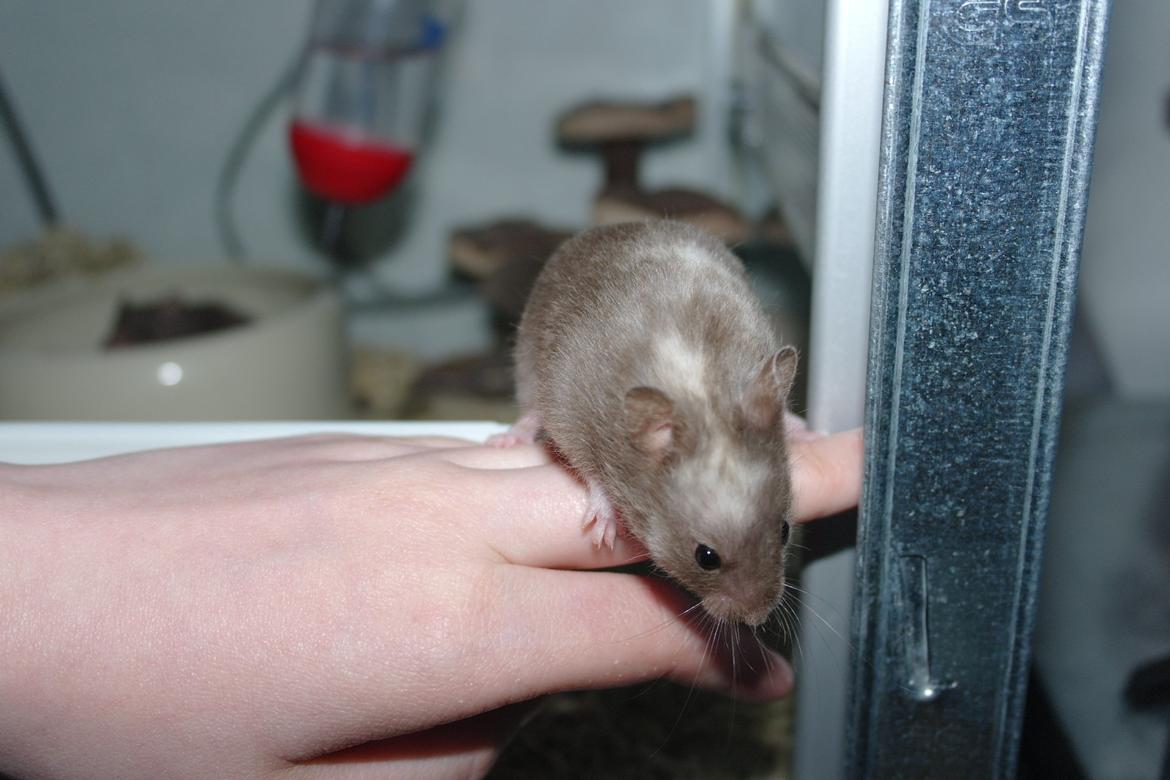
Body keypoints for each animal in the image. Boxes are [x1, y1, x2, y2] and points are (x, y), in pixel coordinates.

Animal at [492, 220, 797, 627]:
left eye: (785, 530)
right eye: (706, 557)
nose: (759, 619)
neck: (702, 391)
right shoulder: (569, 412)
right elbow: (589, 471)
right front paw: (603, 534)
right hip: (527, 356)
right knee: (530, 409)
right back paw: (509, 438)